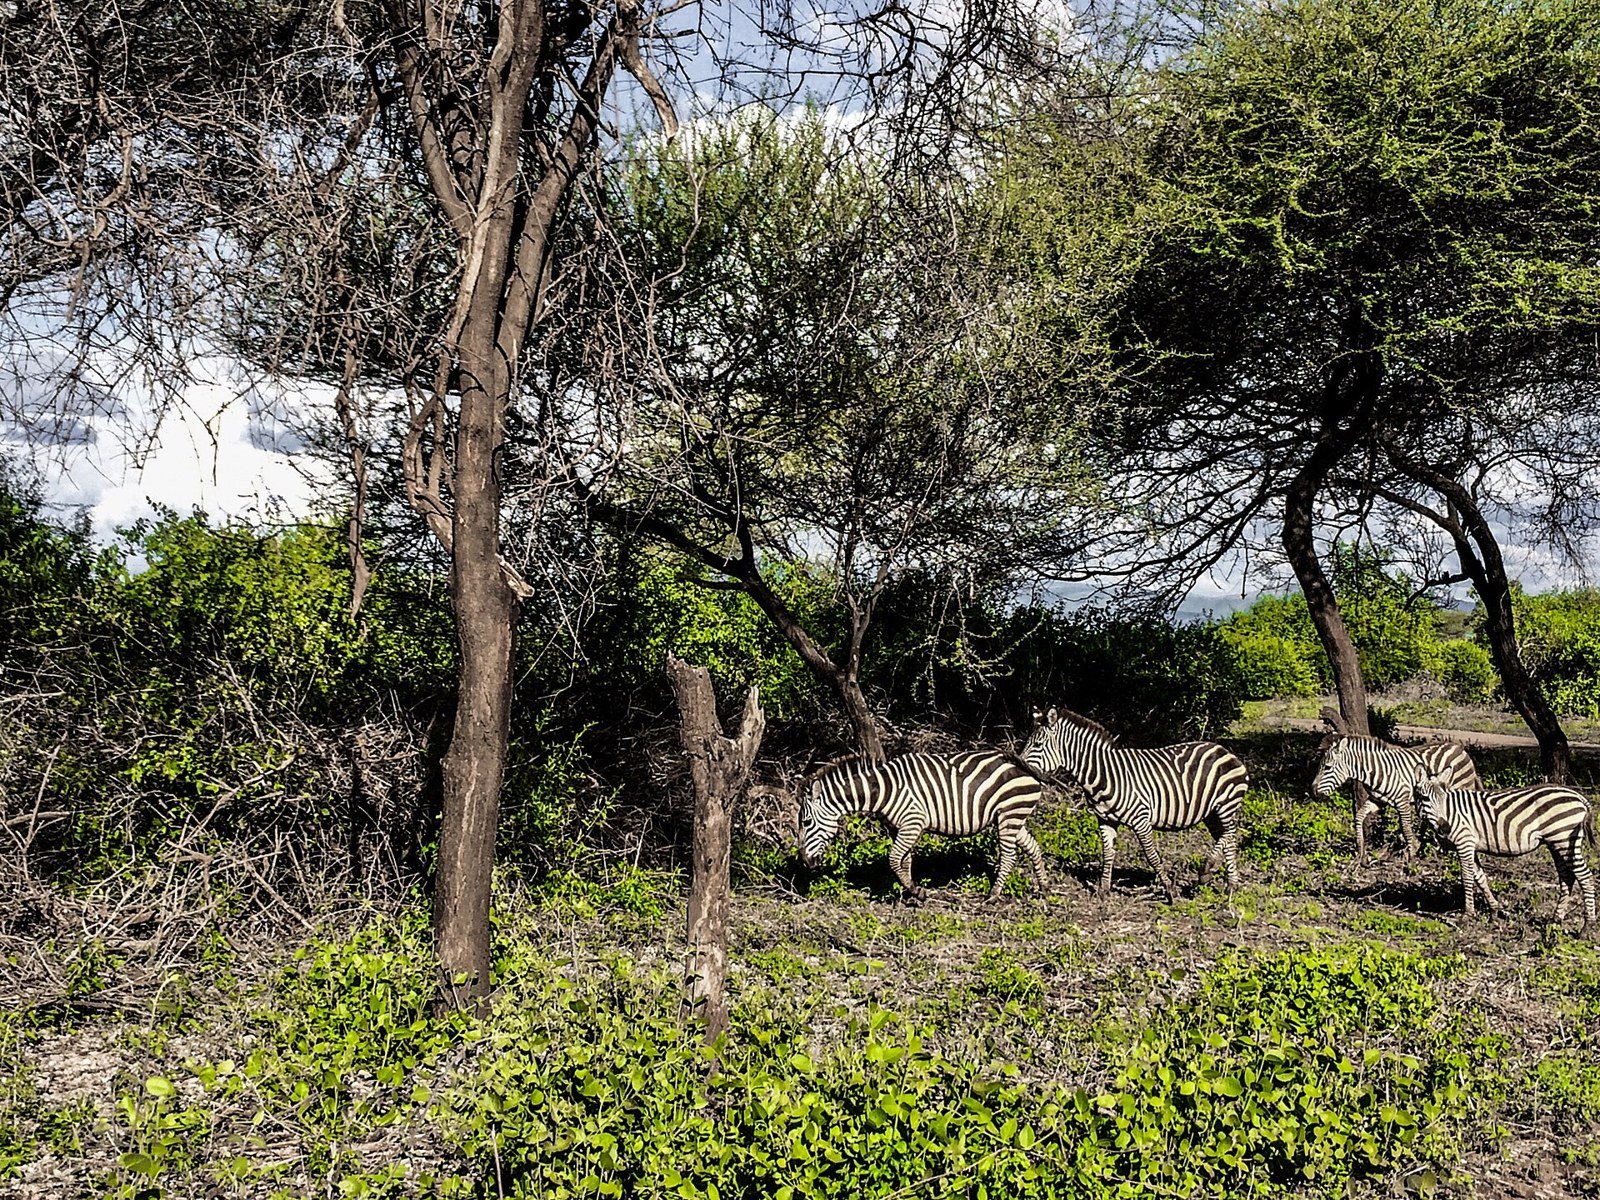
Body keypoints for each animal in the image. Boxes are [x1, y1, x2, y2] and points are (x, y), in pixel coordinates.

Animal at [797, 750, 1046, 900]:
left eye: (806, 822)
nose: (805, 862)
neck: (884, 790)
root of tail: (1025, 765)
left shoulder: (913, 822)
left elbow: (893, 859)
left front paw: (916, 891)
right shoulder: (901, 827)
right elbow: (904, 861)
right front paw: (908, 894)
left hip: (1009, 816)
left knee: (1009, 856)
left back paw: (993, 895)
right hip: (1013, 817)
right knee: (1033, 846)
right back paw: (1043, 888)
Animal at [1019, 707, 1249, 902]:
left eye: (1037, 745)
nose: (1019, 767)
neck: (1105, 775)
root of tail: (1223, 749)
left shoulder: (1141, 819)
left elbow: (1152, 856)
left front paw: (1170, 891)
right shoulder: (1105, 820)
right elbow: (1108, 853)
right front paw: (1103, 890)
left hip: (1226, 805)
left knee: (1230, 833)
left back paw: (1207, 870)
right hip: (1211, 813)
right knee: (1227, 839)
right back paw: (1231, 885)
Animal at [1311, 734, 1480, 867]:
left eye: (1327, 767)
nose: (1313, 793)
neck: (1378, 771)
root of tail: (1460, 748)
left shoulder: (1402, 801)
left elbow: (1405, 828)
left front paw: (1411, 858)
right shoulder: (1377, 800)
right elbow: (1359, 817)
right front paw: (1361, 854)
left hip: (1459, 787)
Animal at [1411, 769, 1596, 932]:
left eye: (1444, 799)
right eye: (1425, 798)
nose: (1446, 828)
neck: (1452, 813)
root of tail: (1579, 796)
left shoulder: (1465, 843)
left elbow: (1467, 877)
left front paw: (1468, 915)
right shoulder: (1470, 846)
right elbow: (1480, 877)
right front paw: (1494, 910)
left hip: (1563, 839)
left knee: (1585, 876)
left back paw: (1587, 927)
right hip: (1557, 843)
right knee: (1567, 877)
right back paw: (1555, 919)